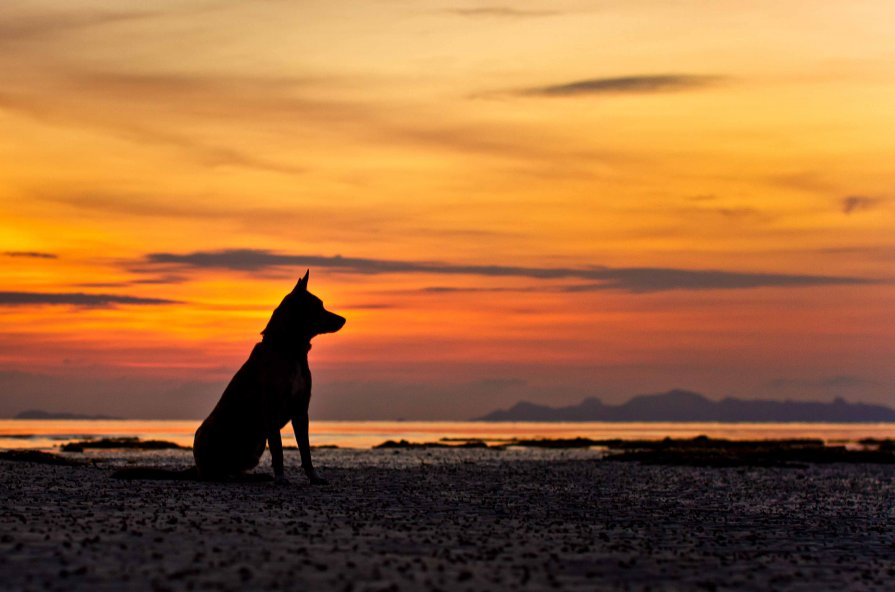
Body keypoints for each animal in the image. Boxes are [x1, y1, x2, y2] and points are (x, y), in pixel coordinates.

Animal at [193, 270, 346, 484]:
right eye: (318, 306)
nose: (344, 319)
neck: (289, 350)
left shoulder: (301, 411)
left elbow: (306, 451)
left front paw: (314, 477)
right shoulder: (272, 409)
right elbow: (278, 449)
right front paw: (281, 478)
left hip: (255, 446)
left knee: (235, 468)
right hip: (210, 432)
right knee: (214, 469)